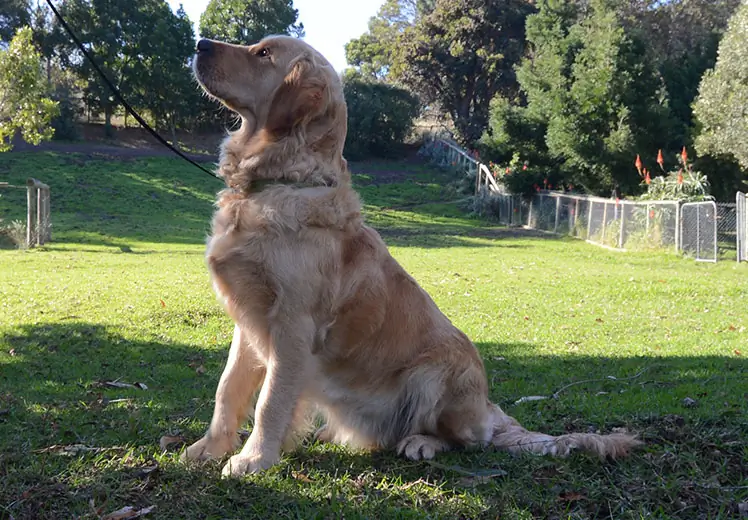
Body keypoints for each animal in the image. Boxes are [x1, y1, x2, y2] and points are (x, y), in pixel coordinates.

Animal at [180, 35, 636, 476]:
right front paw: (209, 449)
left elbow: (271, 400)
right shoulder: (248, 321)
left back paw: (421, 442)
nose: (200, 43)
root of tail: (489, 408)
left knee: (468, 440)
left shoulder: (293, 323)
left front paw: (253, 459)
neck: (282, 181)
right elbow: (228, 389)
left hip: (434, 373)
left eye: (263, 53)